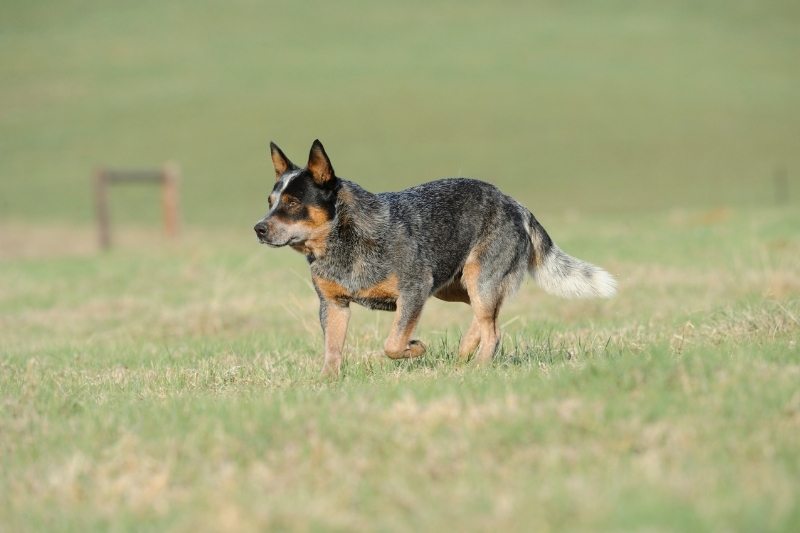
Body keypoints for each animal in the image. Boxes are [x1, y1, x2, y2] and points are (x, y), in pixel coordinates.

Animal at [253, 139, 616, 376]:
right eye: (270, 201)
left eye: (292, 203)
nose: (258, 228)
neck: (343, 240)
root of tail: (516, 204)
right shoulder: (333, 304)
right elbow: (332, 348)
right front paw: (327, 383)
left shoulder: (414, 290)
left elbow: (393, 343)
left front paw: (415, 348)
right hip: (454, 287)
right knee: (486, 319)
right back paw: (463, 354)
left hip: (477, 279)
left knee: (494, 330)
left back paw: (478, 368)